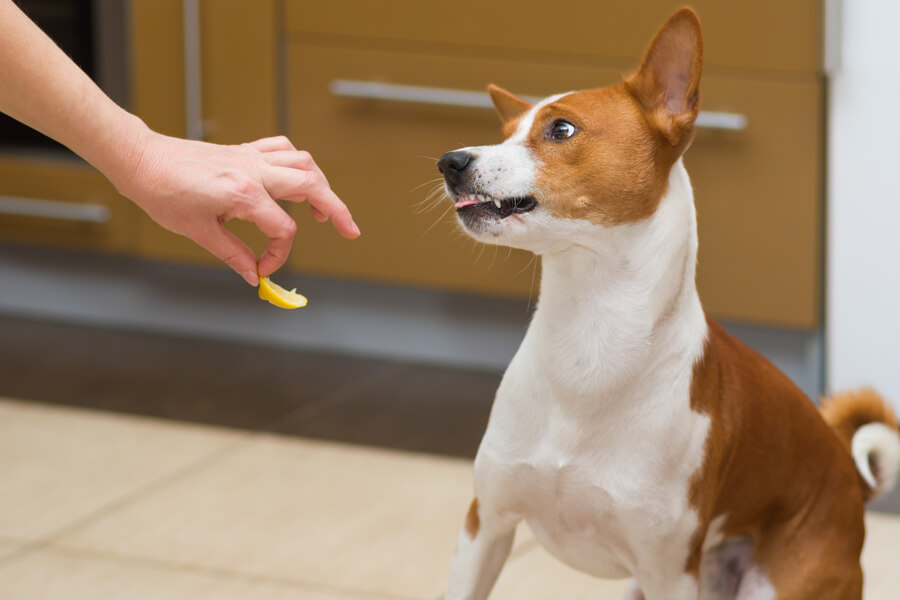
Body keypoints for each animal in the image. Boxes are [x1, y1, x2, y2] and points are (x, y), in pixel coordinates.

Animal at [436, 9, 900, 600]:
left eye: (561, 129)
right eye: (505, 135)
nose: (450, 161)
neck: (590, 338)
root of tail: (850, 480)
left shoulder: (668, 569)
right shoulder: (486, 526)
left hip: (774, 582)